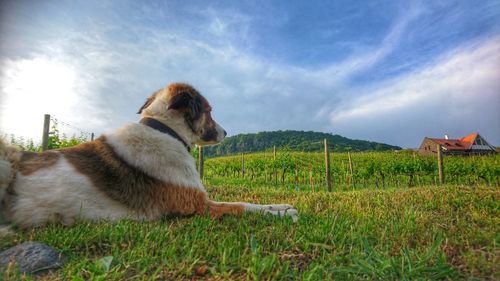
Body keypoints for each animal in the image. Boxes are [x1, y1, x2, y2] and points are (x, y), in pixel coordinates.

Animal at [0, 82, 296, 229]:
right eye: (210, 111)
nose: (226, 132)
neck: (165, 131)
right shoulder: (198, 205)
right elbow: (243, 207)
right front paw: (282, 214)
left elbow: (249, 202)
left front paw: (280, 206)